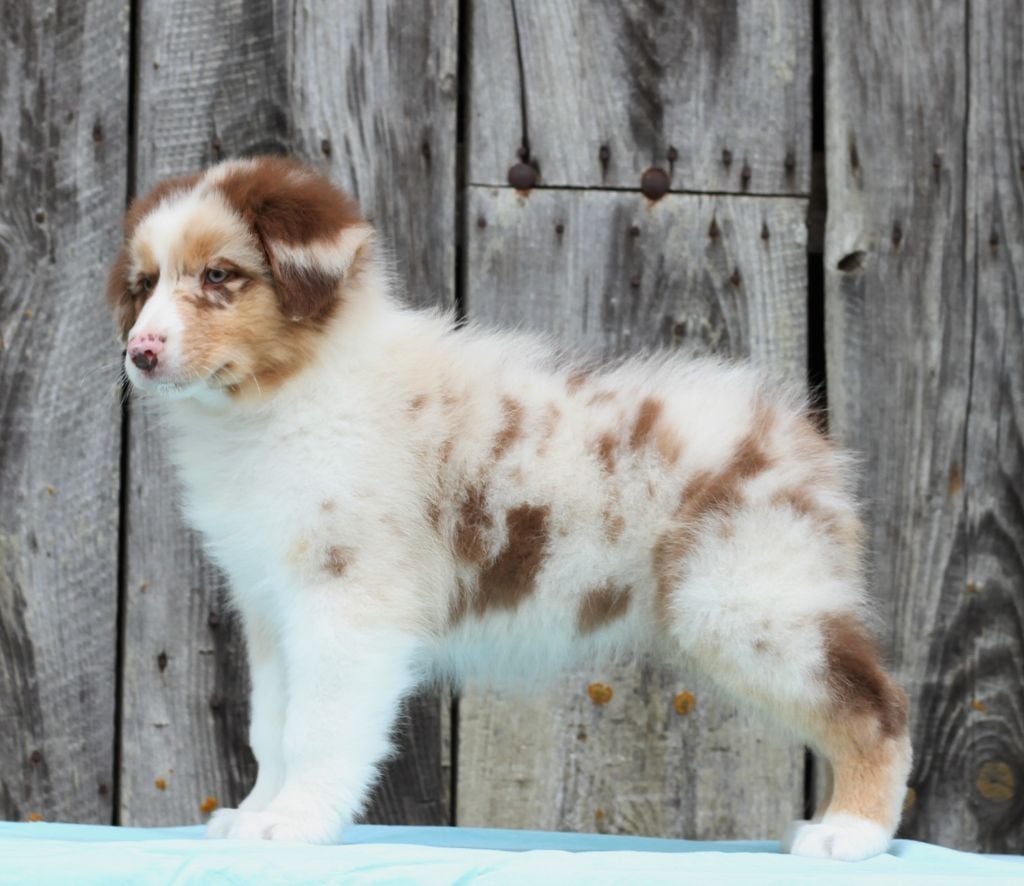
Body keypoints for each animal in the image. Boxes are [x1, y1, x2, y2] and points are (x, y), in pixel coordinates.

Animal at [107, 156, 911, 861]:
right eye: (144, 284)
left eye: (219, 275)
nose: (139, 351)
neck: (285, 399)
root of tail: (805, 439)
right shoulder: (270, 604)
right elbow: (270, 727)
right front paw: (253, 815)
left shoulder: (348, 599)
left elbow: (318, 726)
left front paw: (295, 824)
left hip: (749, 605)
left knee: (875, 706)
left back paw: (850, 834)